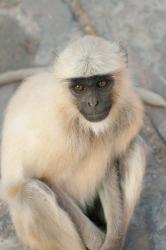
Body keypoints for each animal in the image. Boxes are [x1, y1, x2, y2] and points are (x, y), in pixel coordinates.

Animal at [1, 35, 146, 250]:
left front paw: (113, 241)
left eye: (102, 83)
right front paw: (97, 240)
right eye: (79, 87)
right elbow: (44, 177)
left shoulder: (126, 113)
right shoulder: (55, 131)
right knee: (29, 194)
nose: (93, 103)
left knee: (136, 147)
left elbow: (108, 166)